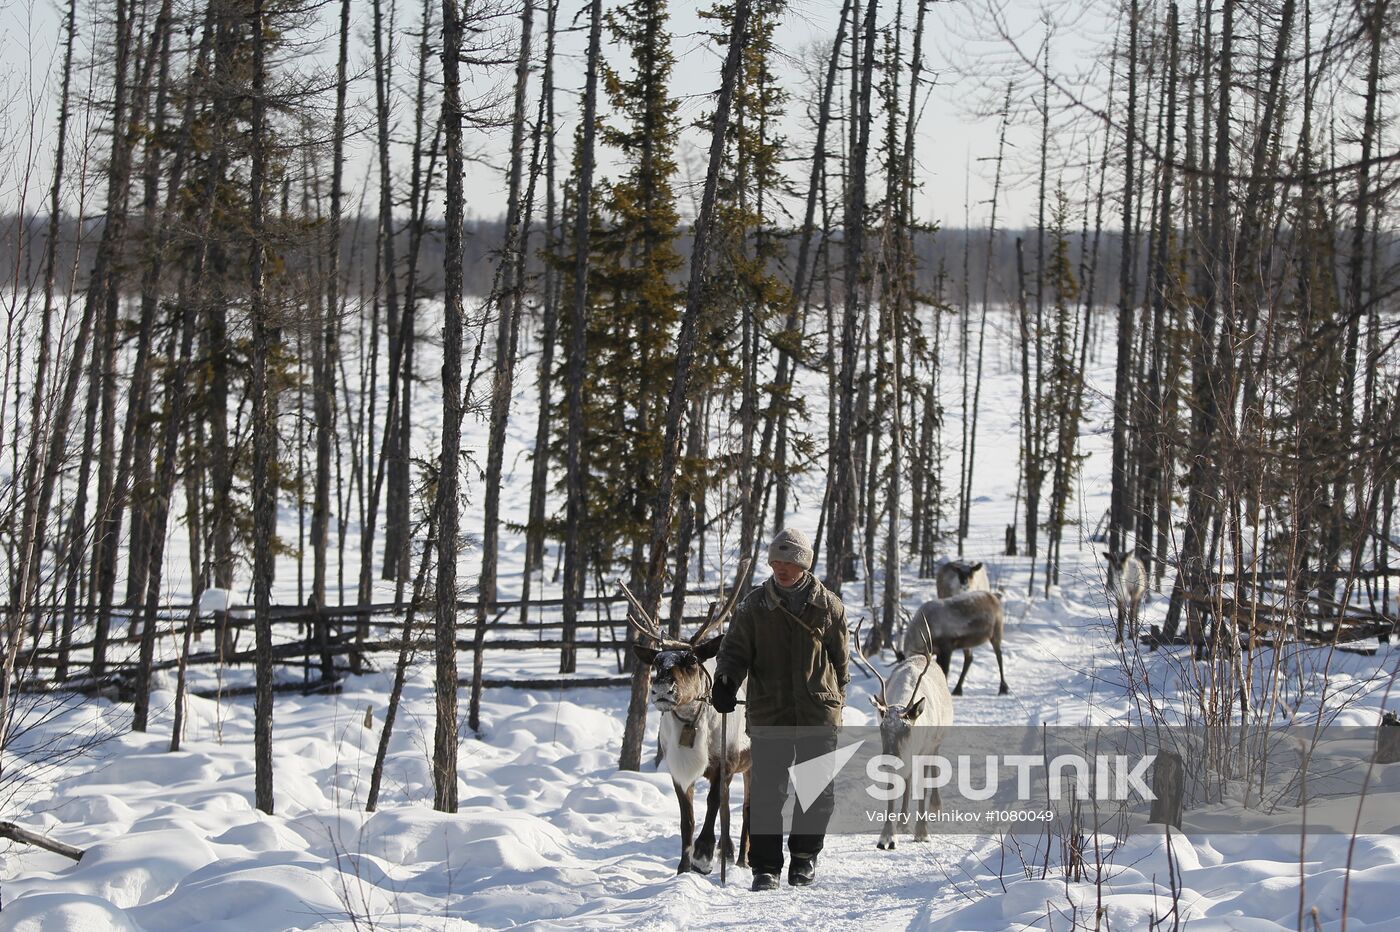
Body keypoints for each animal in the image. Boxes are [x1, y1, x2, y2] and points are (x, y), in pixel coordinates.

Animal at [620, 574, 751, 876]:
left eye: (691, 660)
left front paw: (702, 855)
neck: (691, 721)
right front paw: (683, 867)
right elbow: (687, 819)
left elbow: (713, 802)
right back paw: (727, 852)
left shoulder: (725, 763)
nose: (661, 689)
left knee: (748, 808)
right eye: (657, 662)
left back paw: (741, 859)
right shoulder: (677, 770)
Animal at [854, 618, 954, 850]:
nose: (888, 760)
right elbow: (894, 788)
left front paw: (922, 832)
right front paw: (887, 837)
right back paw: (902, 823)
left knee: (933, 768)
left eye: (907, 728)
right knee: (907, 776)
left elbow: (923, 786)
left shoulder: (924, 747)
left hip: (936, 741)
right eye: (882, 727)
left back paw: (935, 807)